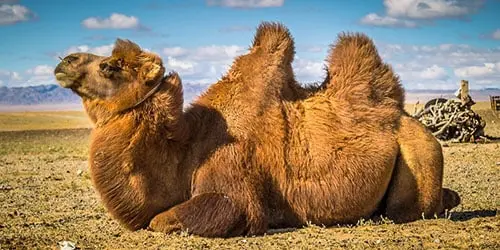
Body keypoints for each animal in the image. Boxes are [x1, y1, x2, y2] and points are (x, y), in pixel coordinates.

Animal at [54, 21, 460, 236]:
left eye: (110, 67)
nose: (65, 61)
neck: (185, 149)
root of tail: (412, 121)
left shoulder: (235, 190)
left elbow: (161, 219)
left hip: (421, 155)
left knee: (413, 208)